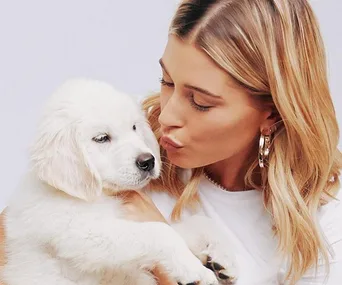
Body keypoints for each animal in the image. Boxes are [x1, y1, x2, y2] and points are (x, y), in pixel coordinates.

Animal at [1, 78, 236, 284]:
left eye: (134, 127)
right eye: (101, 138)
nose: (148, 161)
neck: (103, 196)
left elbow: (197, 222)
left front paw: (224, 258)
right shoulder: (80, 233)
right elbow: (160, 232)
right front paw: (195, 270)